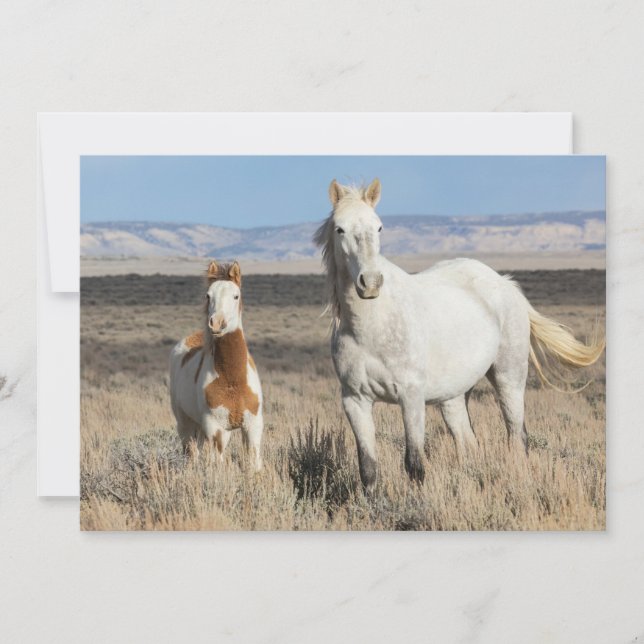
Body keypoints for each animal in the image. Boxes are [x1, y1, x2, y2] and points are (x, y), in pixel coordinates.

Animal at [169, 260, 263, 470]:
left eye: (236, 295)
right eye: (208, 295)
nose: (217, 323)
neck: (233, 380)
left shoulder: (252, 426)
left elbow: (254, 464)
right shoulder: (215, 428)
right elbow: (217, 465)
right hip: (186, 425)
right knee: (191, 454)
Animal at [314, 178, 605, 490]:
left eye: (379, 227)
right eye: (340, 229)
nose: (370, 283)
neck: (371, 326)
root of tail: (506, 284)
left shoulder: (411, 397)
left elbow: (414, 464)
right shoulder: (355, 401)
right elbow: (368, 469)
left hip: (509, 378)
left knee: (517, 438)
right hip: (453, 396)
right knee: (469, 444)